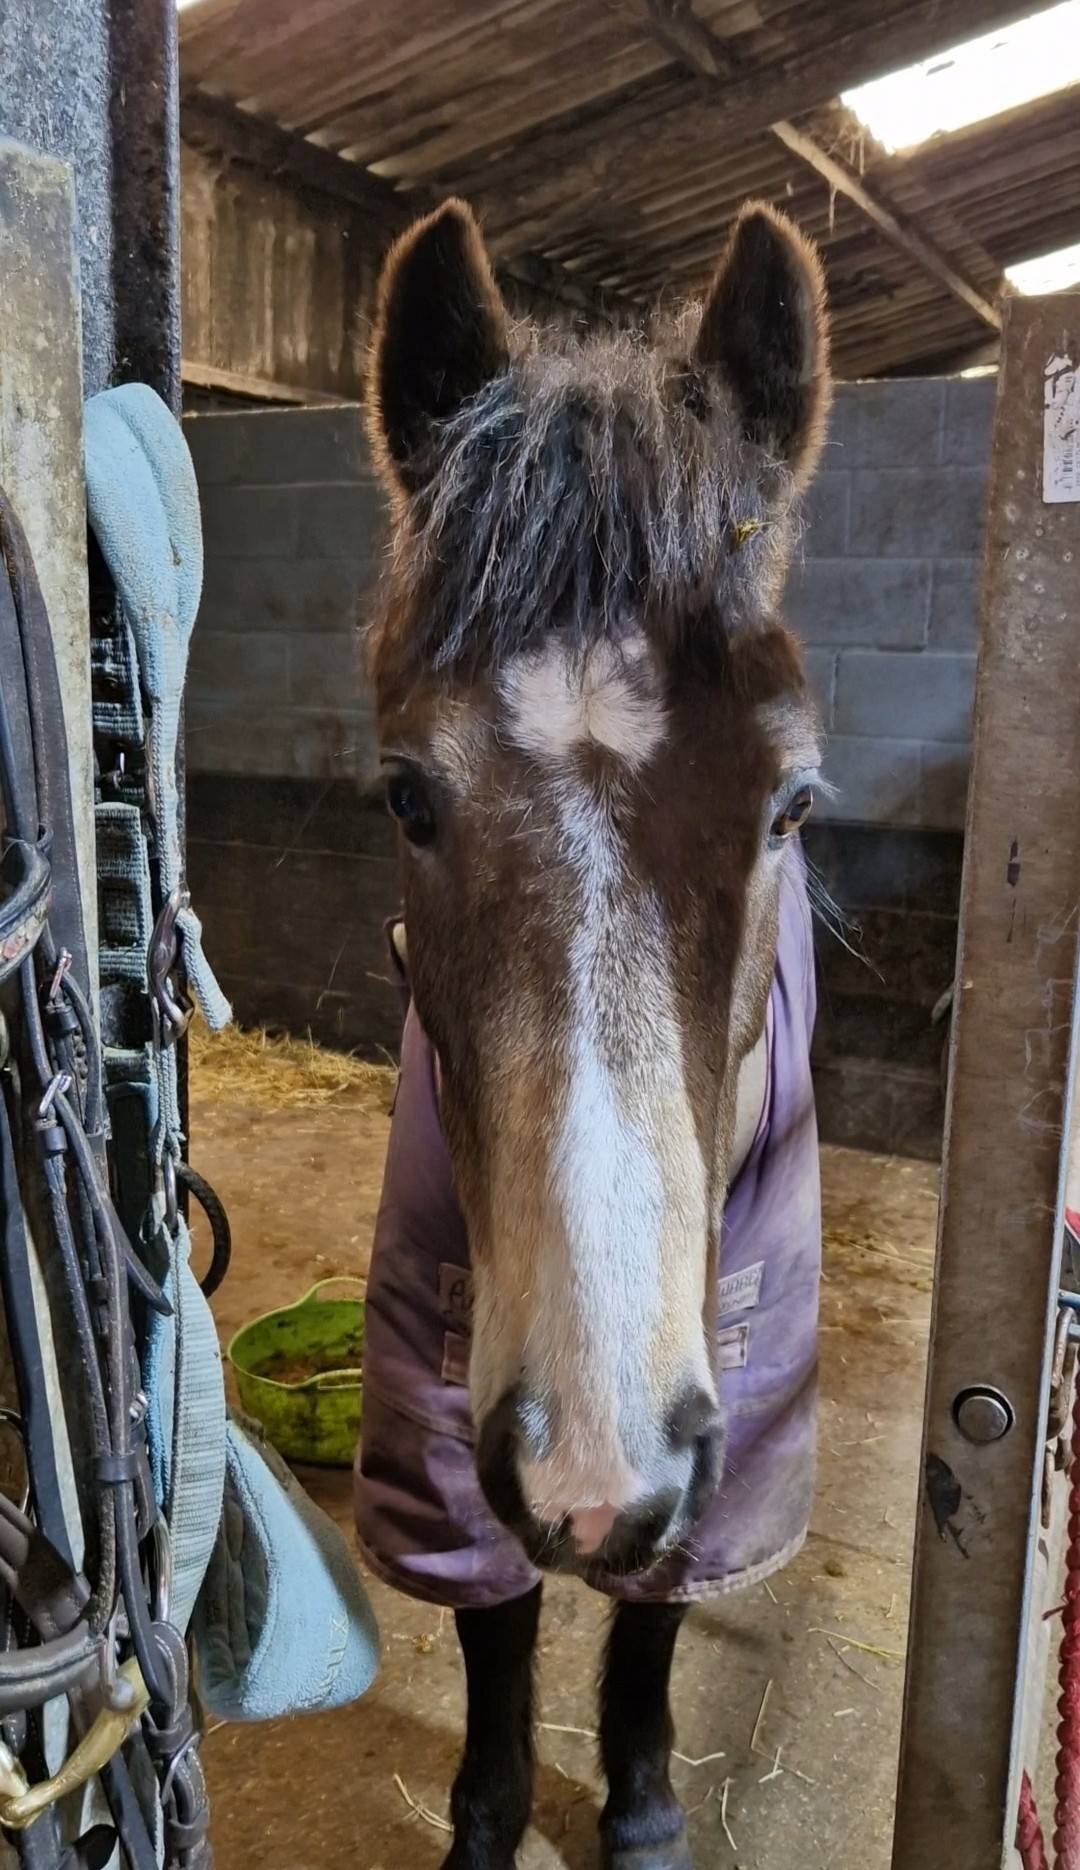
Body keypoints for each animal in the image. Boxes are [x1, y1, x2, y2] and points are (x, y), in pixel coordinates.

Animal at [354, 195, 831, 1870]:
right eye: (407, 796)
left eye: (790, 803)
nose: (589, 1477)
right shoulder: (437, 1375)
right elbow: (494, 1627)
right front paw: (487, 1823)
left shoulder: (738, 1394)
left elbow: (655, 1619)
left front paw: (642, 1815)